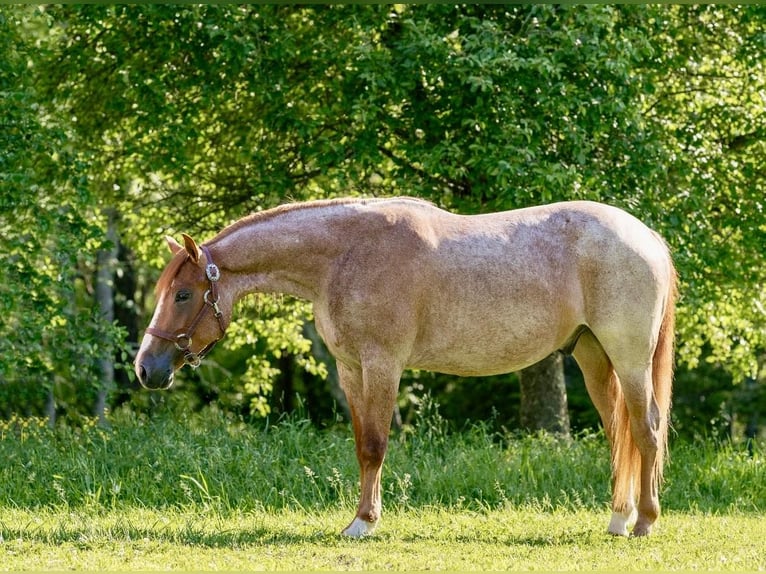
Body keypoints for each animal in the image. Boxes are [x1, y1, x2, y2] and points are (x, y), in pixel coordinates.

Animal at [135, 197, 676, 538]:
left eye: (182, 294)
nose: (145, 368)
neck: (344, 255)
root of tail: (645, 235)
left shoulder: (382, 363)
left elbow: (376, 445)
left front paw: (363, 524)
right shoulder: (351, 369)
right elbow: (361, 446)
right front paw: (359, 517)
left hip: (628, 357)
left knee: (646, 427)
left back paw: (645, 522)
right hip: (593, 356)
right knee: (619, 433)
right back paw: (618, 519)